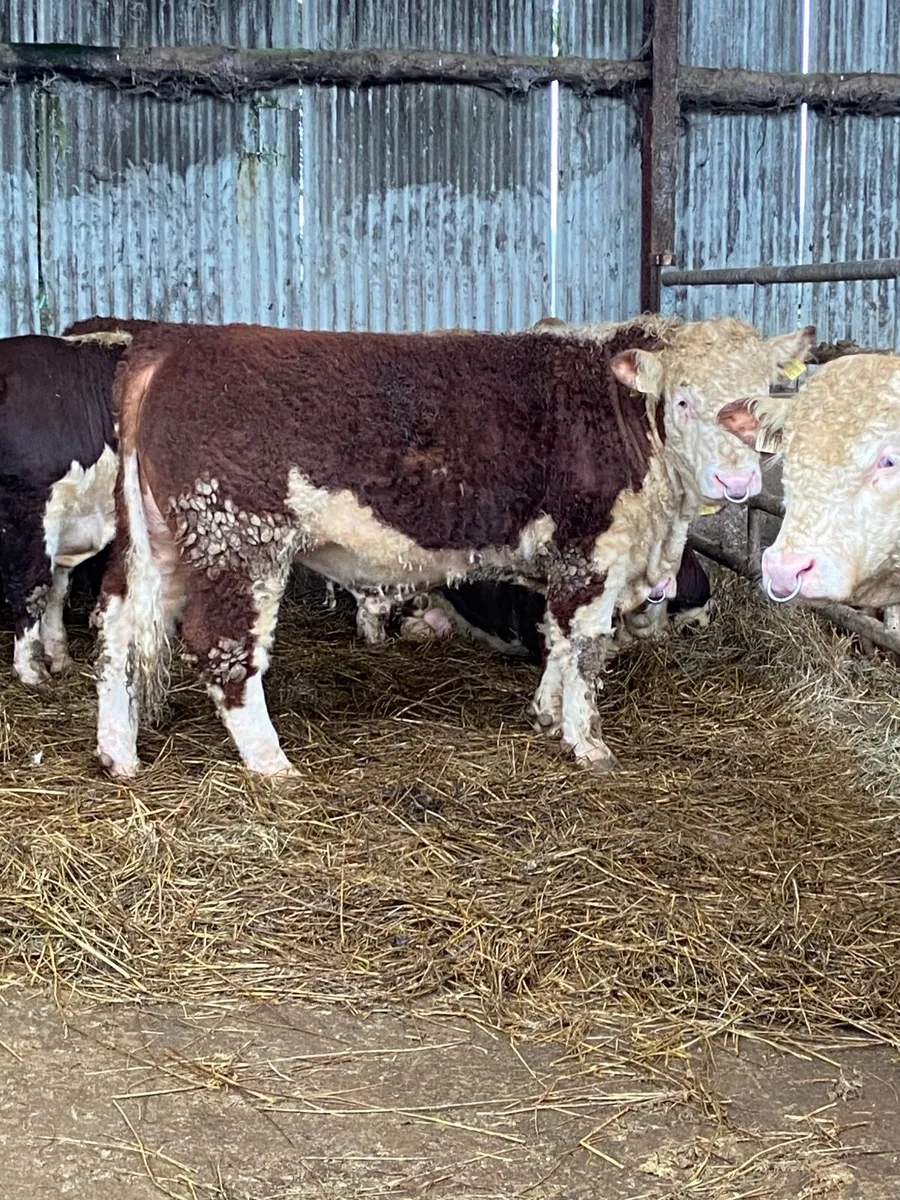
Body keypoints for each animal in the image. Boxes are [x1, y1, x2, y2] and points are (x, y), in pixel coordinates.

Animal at [93, 316, 813, 779]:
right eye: (685, 401)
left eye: (762, 400)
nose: (738, 482)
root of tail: (174, 343)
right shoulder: (593, 550)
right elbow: (584, 647)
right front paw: (588, 745)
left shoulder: (565, 559)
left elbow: (555, 638)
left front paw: (545, 713)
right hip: (238, 536)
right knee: (222, 648)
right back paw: (271, 764)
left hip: (161, 538)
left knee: (118, 624)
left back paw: (119, 753)